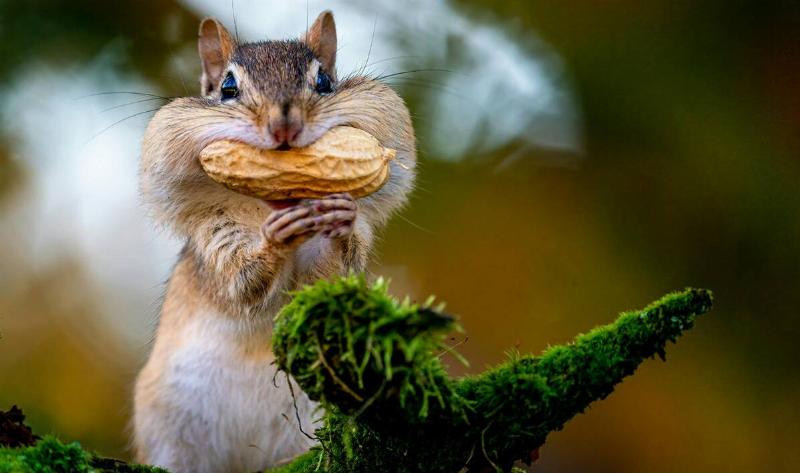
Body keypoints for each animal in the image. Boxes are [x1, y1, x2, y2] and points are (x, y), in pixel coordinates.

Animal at [132, 11, 416, 473]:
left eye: (324, 82)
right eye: (228, 88)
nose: (285, 125)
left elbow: (330, 276)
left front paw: (341, 218)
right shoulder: (214, 237)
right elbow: (241, 284)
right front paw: (274, 241)